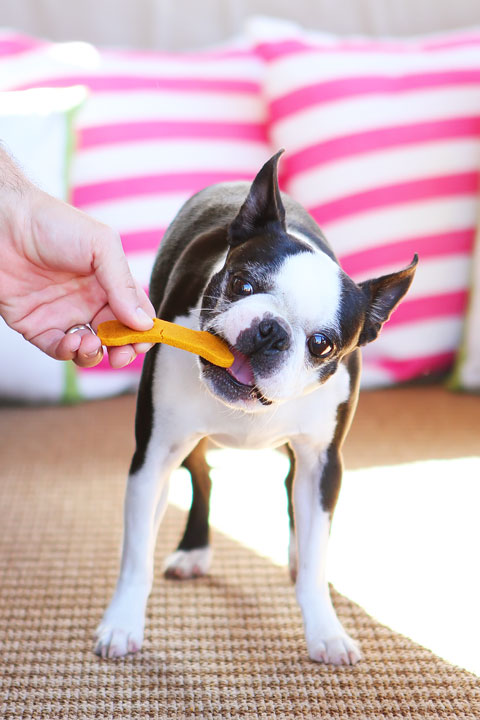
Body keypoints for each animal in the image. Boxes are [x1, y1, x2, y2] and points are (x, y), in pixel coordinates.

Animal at [94, 150, 416, 664]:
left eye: (322, 345)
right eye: (243, 284)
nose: (271, 331)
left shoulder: (324, 463)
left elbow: (316, 549)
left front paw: (325, 630)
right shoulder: (153, 452)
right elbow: (136, 553)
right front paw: (122, 623)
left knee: (288, 489)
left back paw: (294, 556)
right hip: (185, 446)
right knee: (201, 480)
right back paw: (193, 549)